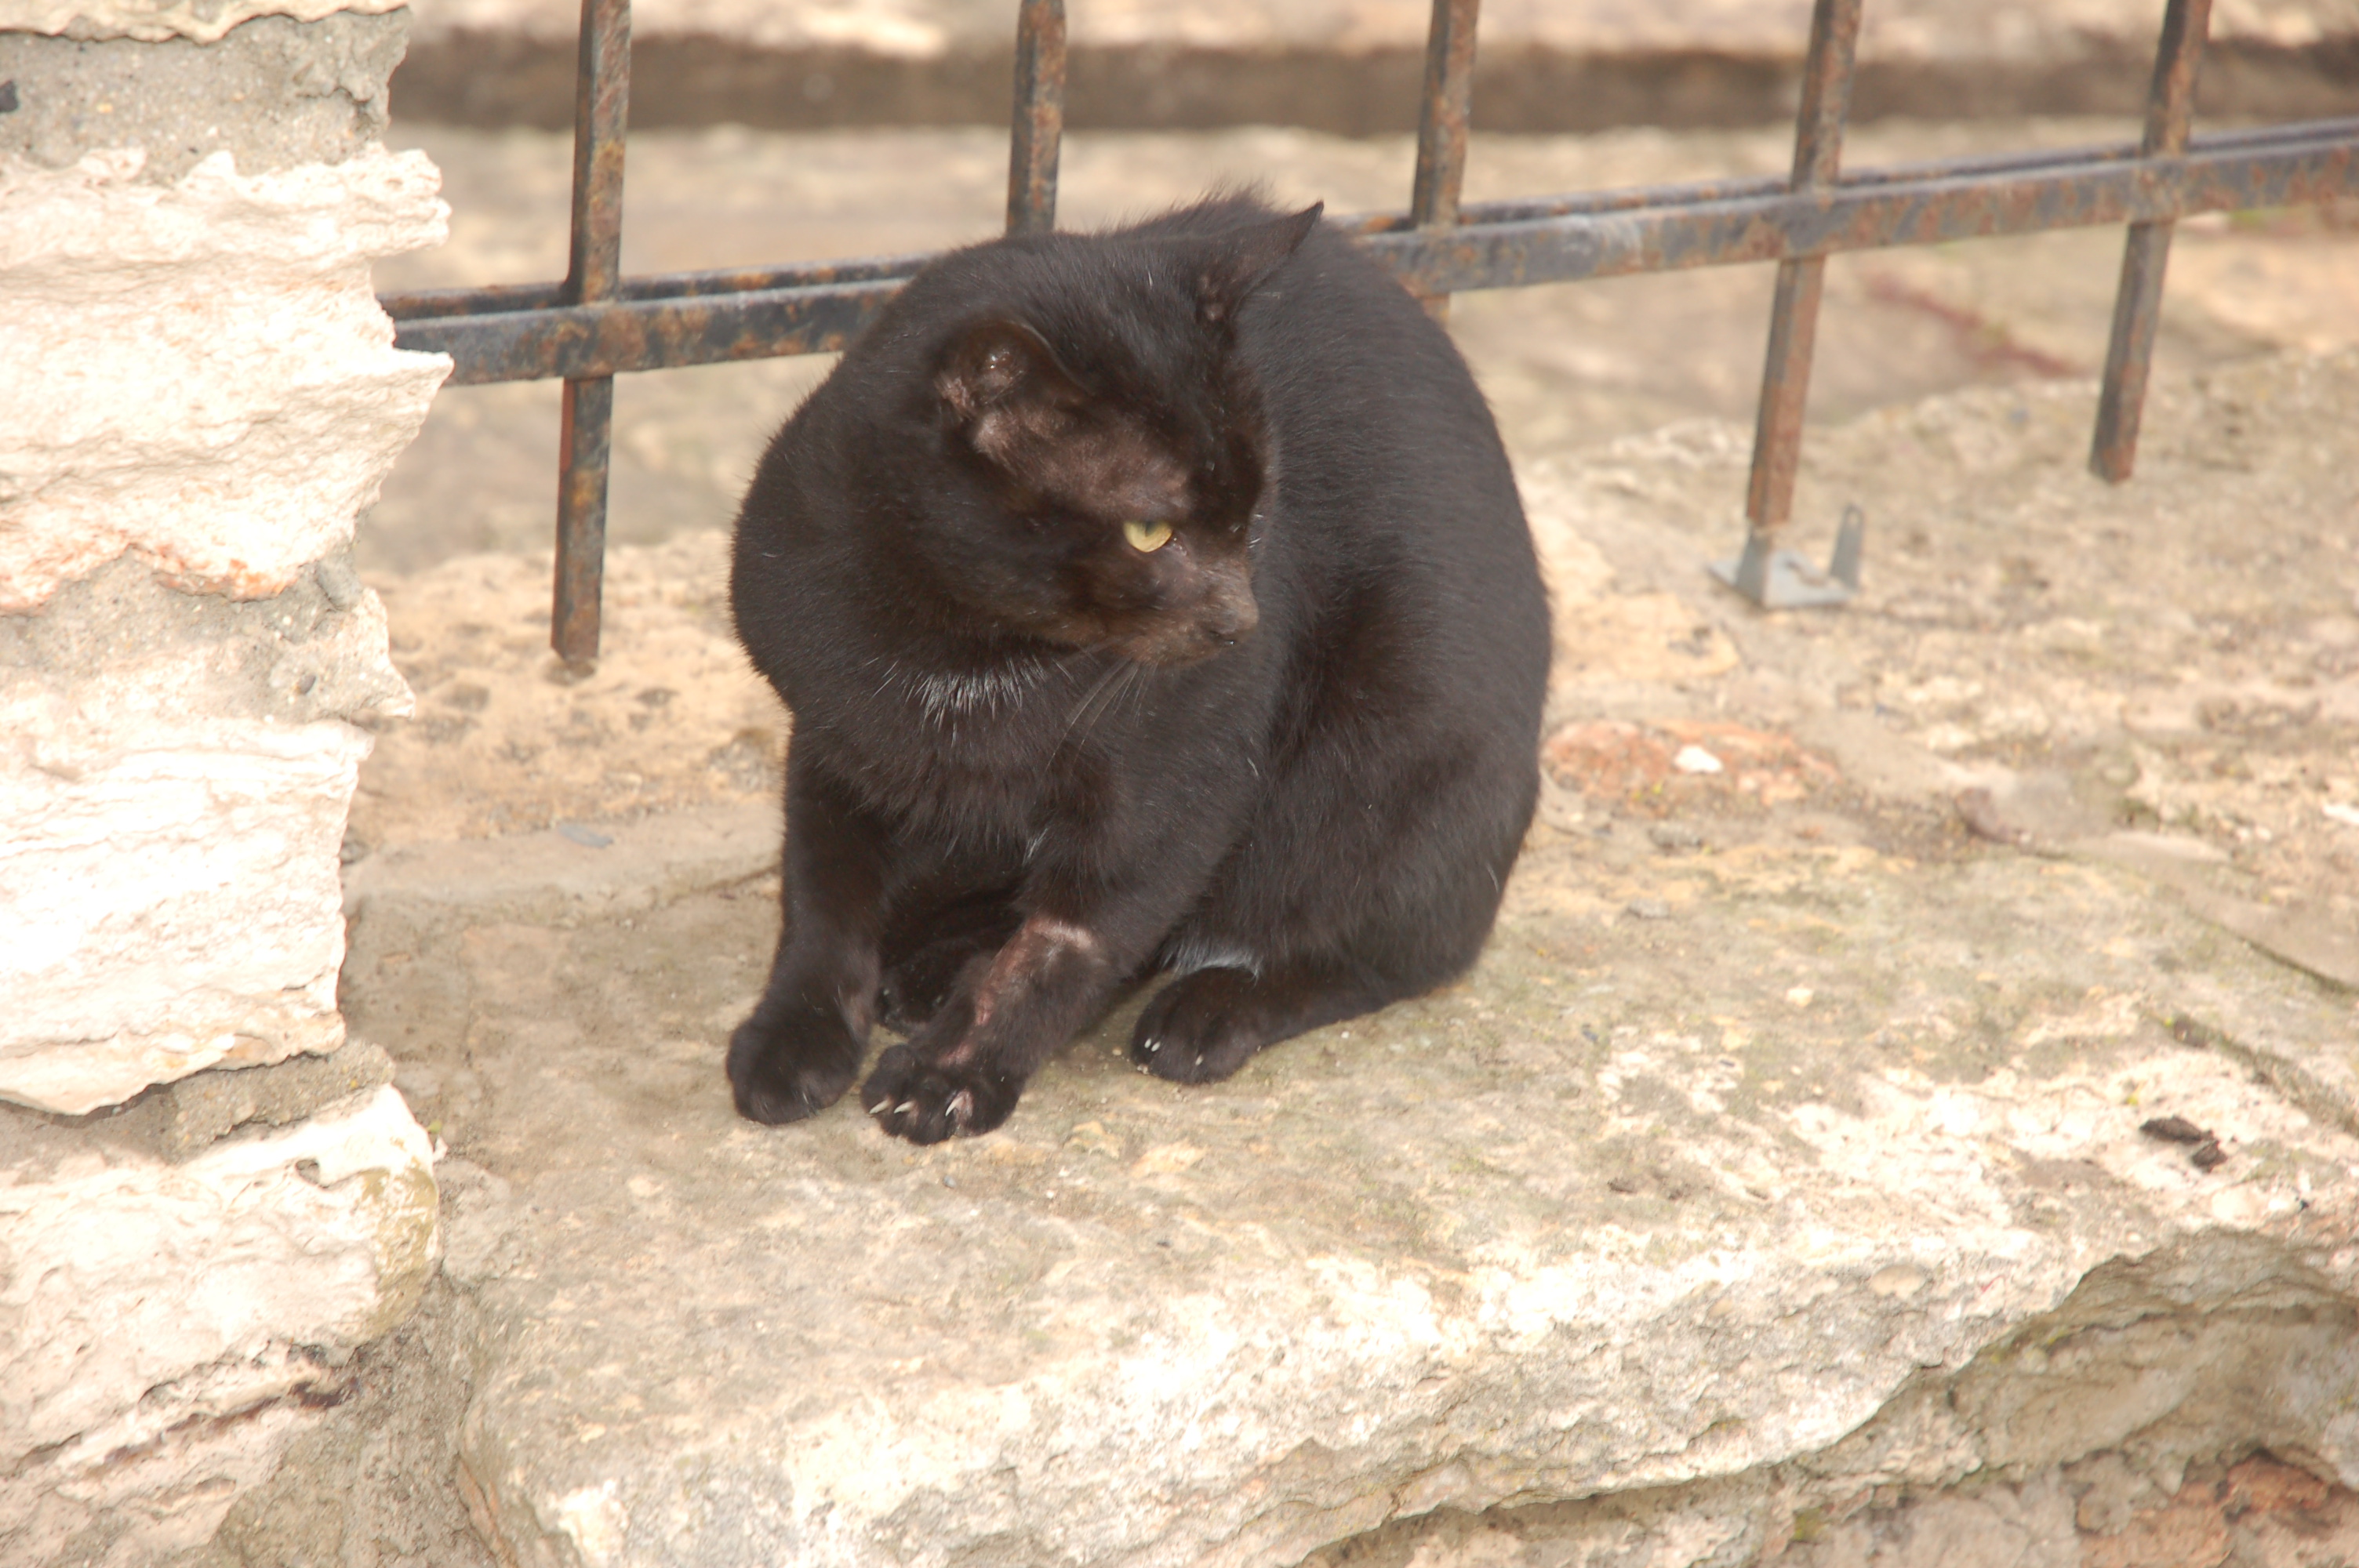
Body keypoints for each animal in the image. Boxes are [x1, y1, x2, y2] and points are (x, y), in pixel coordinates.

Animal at [725, 193, 1549, 1144]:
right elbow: (822, 904)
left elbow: (1066, 945)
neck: (962, 650)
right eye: (1149, 531)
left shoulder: (1177, 781)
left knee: (1386, 948)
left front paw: (954, 1073)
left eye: (1255, 509)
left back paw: (1209, 1010)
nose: (1241, 620)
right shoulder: (831, 737)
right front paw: (792, 1037)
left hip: (1395, 767)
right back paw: (937, 959)